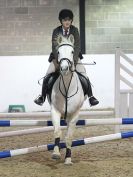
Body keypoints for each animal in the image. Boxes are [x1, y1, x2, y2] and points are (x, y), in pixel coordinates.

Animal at [48, 34, 85, 165]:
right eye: (58, 52)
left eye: (72, 51)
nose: (64, 68)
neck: (67, 88)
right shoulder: (55, 111)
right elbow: (57, 131)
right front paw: (55, 153)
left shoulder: (75, 114)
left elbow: (69, 137)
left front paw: (68, 159)